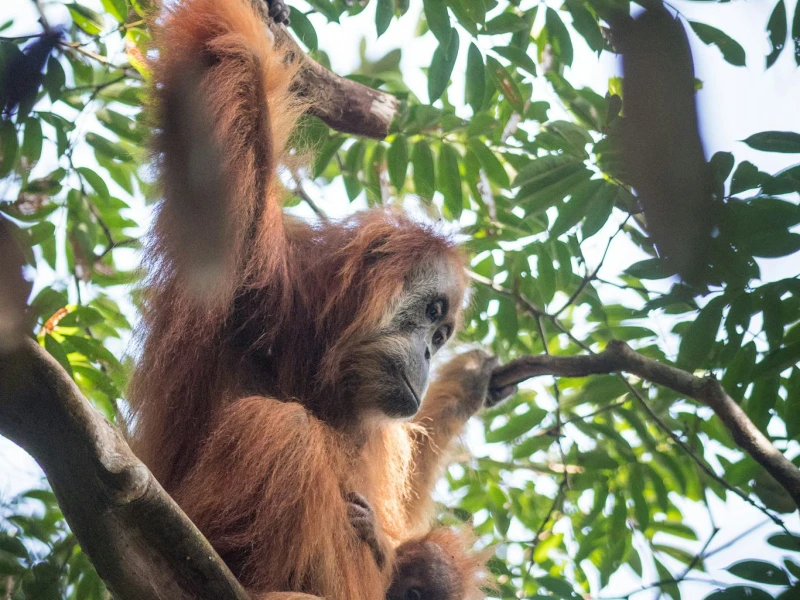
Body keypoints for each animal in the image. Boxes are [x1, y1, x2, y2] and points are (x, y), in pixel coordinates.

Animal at [127, 0, 515, 598]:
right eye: (432, 314)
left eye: (442, 333)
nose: (431, 353)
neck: (318, 363)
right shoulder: (251, 280)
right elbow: (227, 69)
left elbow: (403, 513)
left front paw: (468, 381)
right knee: (283, 428)